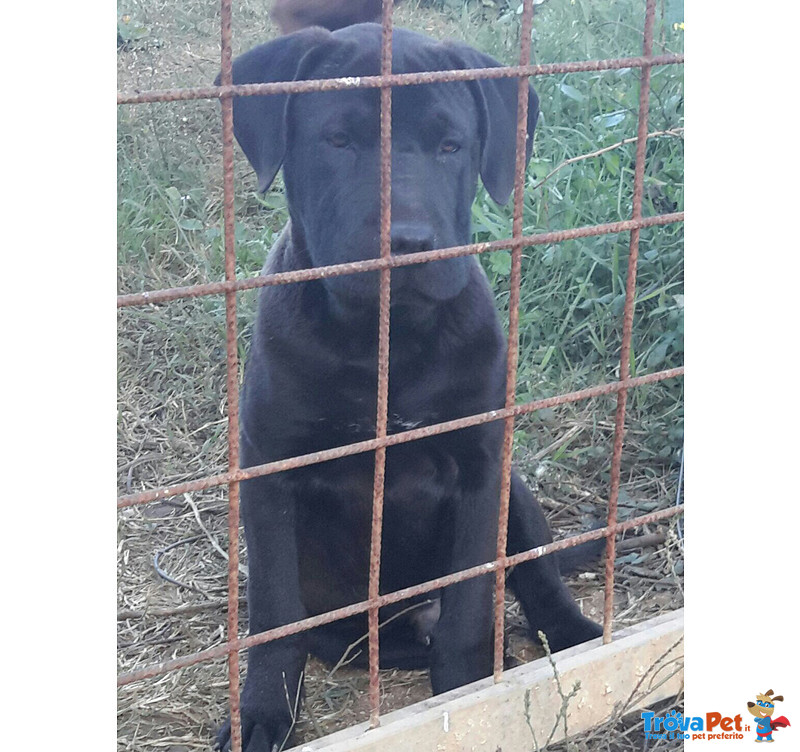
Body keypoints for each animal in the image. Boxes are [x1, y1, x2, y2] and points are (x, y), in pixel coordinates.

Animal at [216, 23, 604, 752]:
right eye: (338, 141)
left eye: (451, 146)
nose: (408, 242)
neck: (386, 339)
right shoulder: (271, 469)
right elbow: (275, 613)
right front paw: (261, 713)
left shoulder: (482, 468)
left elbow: (471, 602)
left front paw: (468, 696)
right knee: (352, 641)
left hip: (516, 492)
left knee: (534, 578)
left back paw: (574, 637)